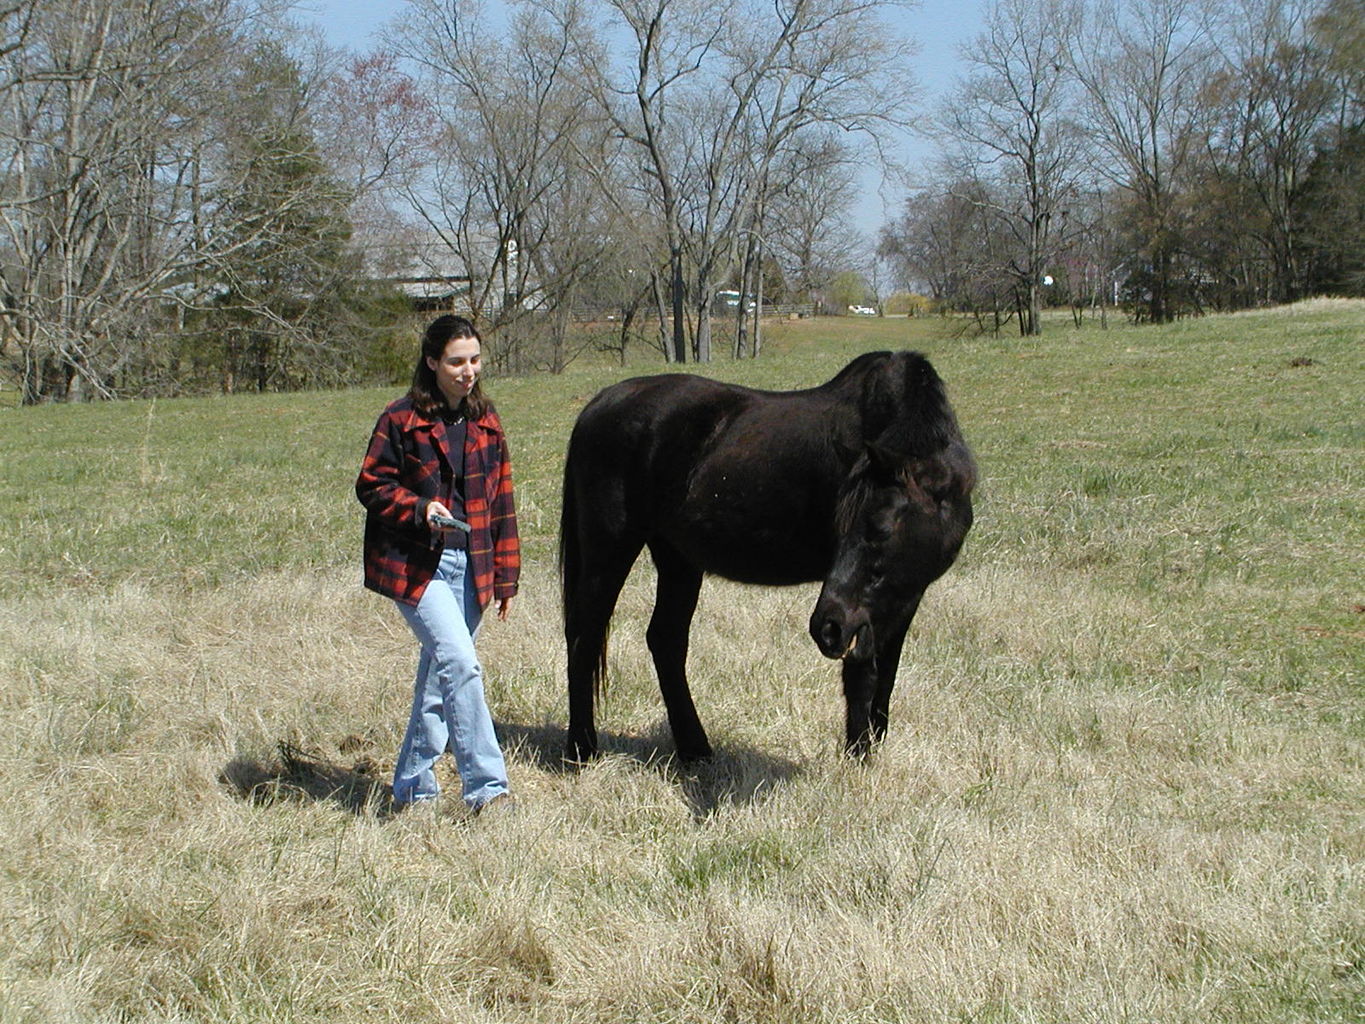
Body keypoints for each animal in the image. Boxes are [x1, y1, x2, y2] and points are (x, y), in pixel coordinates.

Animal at [559, 352, 977, 764]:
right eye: (839, 527)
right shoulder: (866, 613)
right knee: (585, 633)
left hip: (677, 558)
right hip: (610, 548)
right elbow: (863, 671)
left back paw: (696, 750)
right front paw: (858, 758)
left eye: (881, 530)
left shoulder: (903, 595)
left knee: (665, 640)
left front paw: (872, 746)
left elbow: (887, 672)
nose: (827, 627)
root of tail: (600, 403)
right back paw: (582, 749)